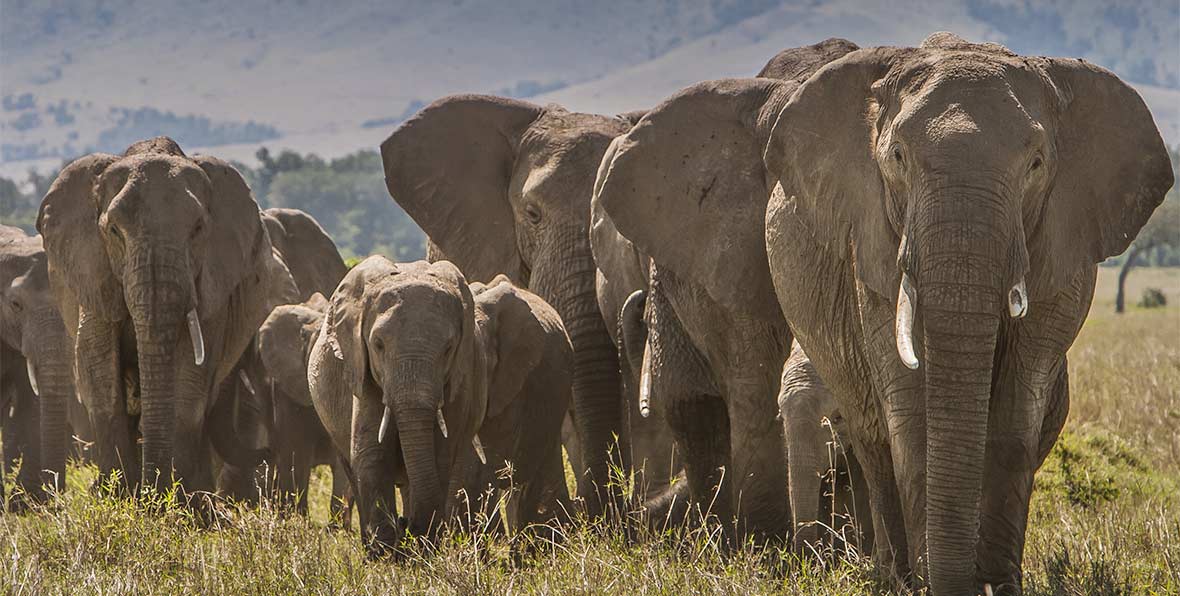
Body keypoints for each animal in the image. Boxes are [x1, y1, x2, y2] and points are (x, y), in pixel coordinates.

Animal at [36, 136, 298, 495]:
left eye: (198, 228)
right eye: (114, 230)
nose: (269, 452)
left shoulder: (210, 284)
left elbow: (190, 380)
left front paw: (170, 501)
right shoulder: (93, 270)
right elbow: (98, 372)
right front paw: (120, 497)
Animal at [307, 257, 572, 556]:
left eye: (449, 349)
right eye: (377, 345)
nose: (405, 525)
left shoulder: (470, 383)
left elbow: (448, 458)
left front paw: (418, 549)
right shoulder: (360, 370)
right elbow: (371, 455)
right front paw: (387, 554)